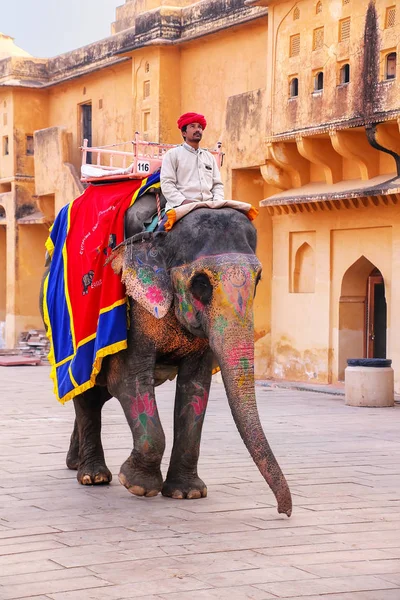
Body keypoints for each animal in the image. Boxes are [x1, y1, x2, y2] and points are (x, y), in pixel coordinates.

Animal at [42, 202, 292, 516]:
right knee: (87, 391)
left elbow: (194, 387)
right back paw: (93, 477)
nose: (284, 511)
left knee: (97, 394)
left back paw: (75, 463)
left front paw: (187, 494)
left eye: (258, 278)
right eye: (201, 283)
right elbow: (129, 378)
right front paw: (136, 485)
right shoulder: (135, 308)